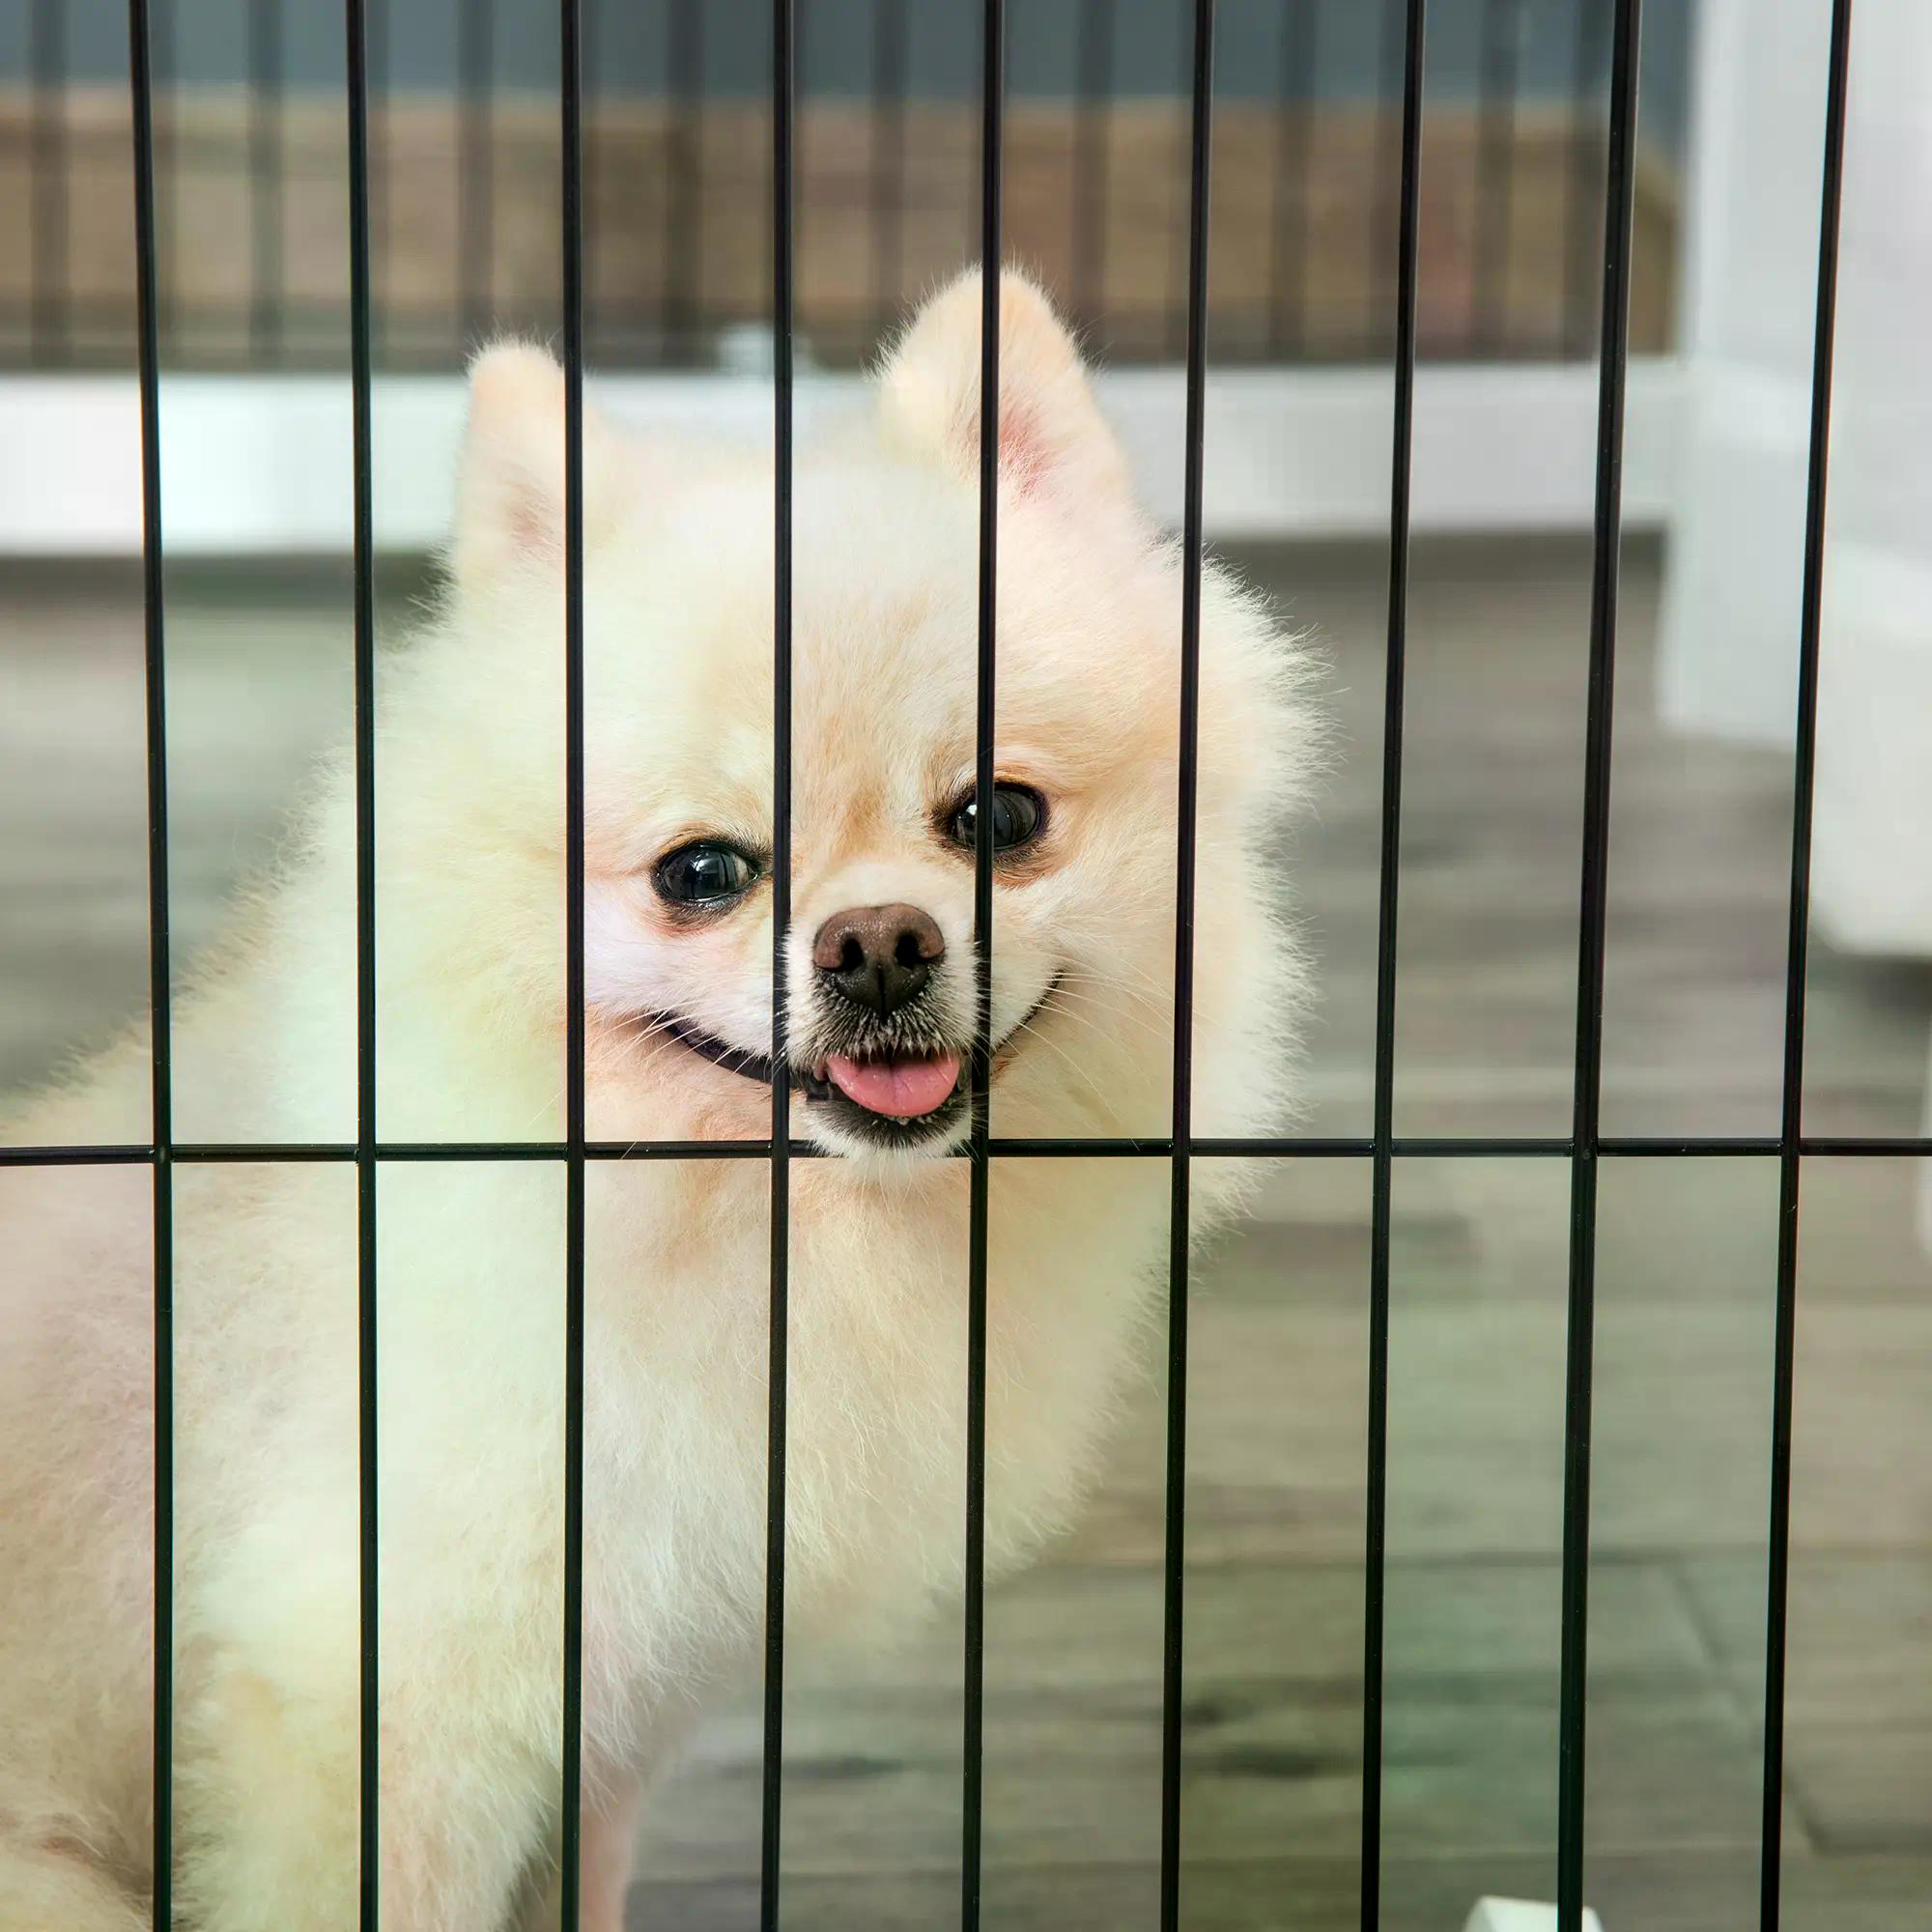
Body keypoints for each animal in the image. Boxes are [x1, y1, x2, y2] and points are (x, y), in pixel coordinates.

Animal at [0, 276, 1314, 1932]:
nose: (880, 944)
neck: (754, 1223)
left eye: (998, 817)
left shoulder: (607, 1712)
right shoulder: (386, 1709)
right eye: (703, 871)